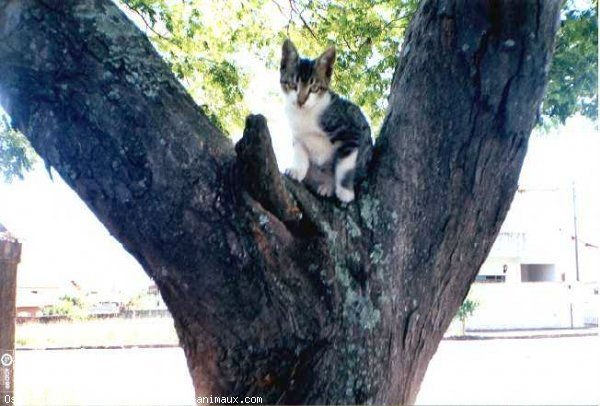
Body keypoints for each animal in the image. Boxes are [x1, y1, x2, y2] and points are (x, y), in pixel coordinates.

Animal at [280, 38, 372, 203]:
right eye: (292, 85)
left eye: (314, 88)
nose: (300, 101)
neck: (306, 113)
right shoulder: (298, 135)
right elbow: (300, 153)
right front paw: (297, 171)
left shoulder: (352, 130)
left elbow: (344, 165)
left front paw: (345, 192)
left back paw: (328, 187)